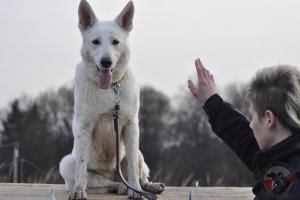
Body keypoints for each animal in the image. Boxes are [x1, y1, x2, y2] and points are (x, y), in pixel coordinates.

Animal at [59, 0, 165, 199]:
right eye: (95, 42)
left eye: (115, 42)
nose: (106, 62)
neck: (110, 88)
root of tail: (112, 174)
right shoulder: (84, 127)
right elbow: (82, 168)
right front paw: (79, 190)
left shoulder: (131, 125)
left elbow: (132, 167)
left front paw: (136, 190)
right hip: (67, 163)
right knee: (101, 182)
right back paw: (119, 187)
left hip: (139, 151)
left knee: (137, 173)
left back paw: (147, 186)